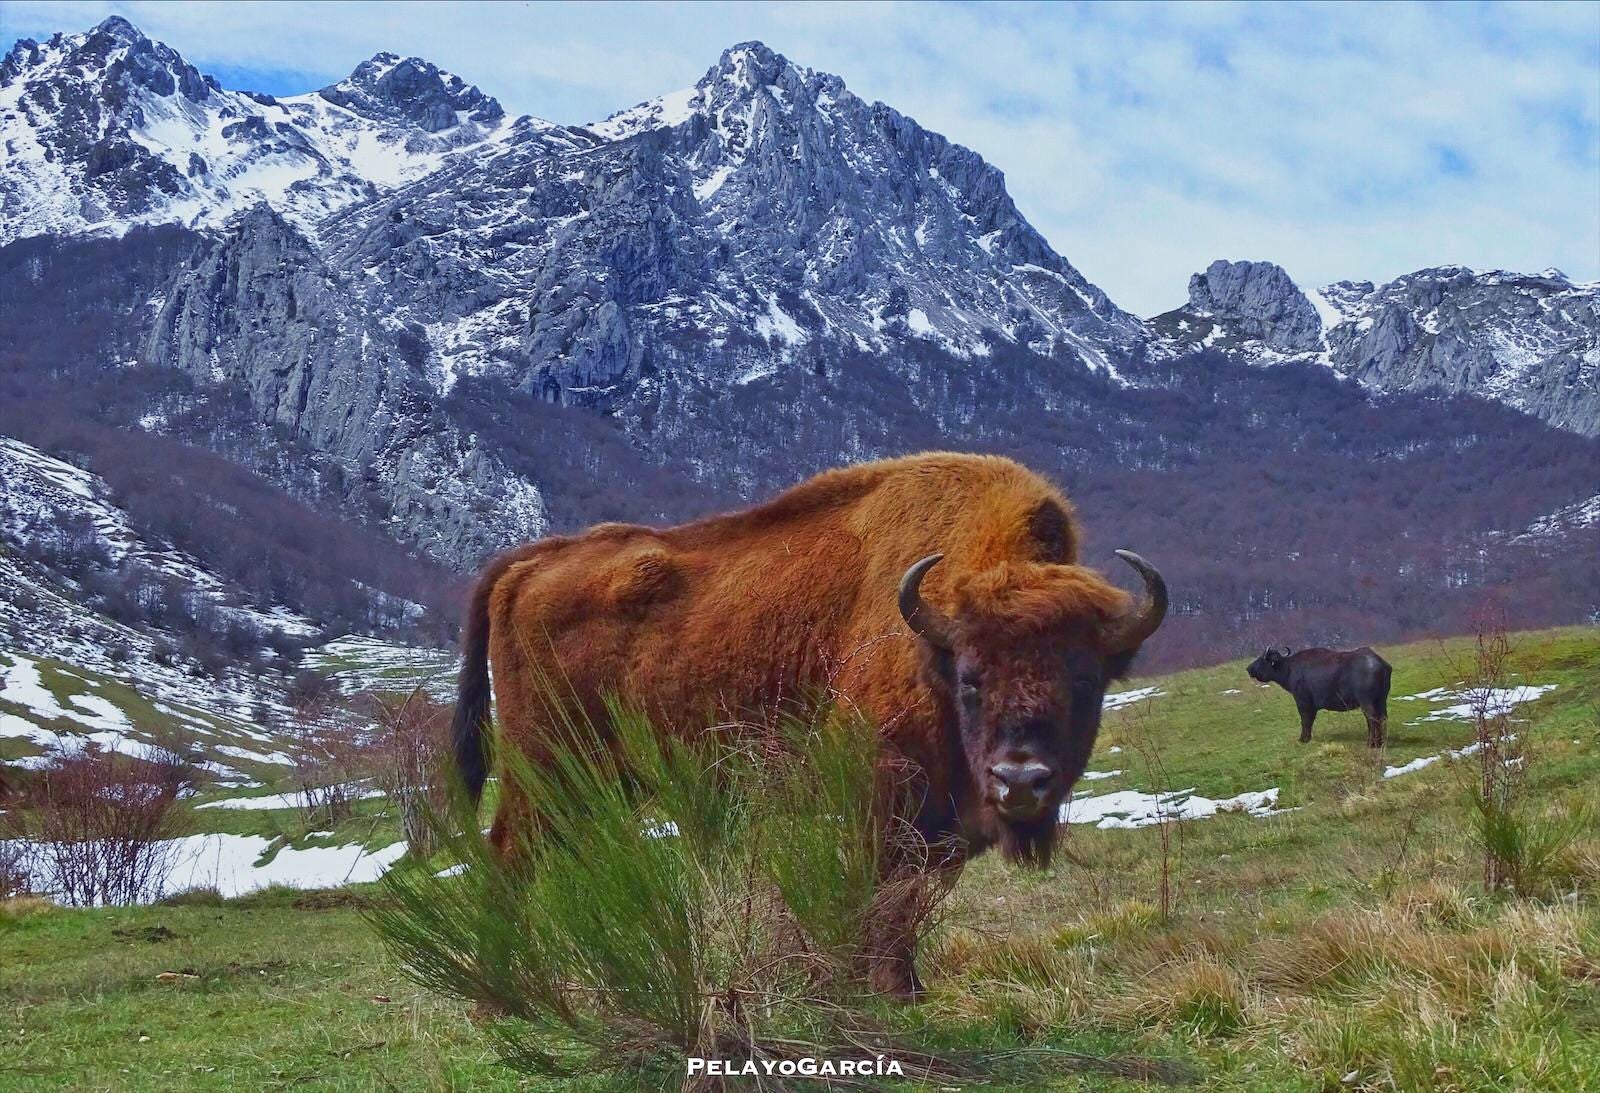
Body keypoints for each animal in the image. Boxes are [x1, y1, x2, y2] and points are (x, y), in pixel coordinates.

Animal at [451, 448, 1164, 998]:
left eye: (1085, 680)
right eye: (971, 678)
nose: (1020, 781)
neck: (927, 638)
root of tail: (534, 560)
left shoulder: (944, 824)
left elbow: (911, 900)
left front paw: (904, 987)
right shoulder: (881, 792)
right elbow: (881, 892)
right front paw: (875, 987)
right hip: (545, 771)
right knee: (511, 857)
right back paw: (504, 991)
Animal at [1248, 646, 1388, 748]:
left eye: (1261, 659)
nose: (1248, 668)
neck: (1289, 668)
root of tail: (1381, 664)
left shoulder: (1303, 702)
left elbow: (1305, 720)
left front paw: (1303, 738)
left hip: (1366, 702)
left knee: (1372, 719)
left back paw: (1371, 743)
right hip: (1381, 701)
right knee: (1381, 718)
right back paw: (1380, 741)